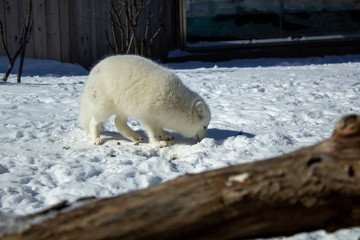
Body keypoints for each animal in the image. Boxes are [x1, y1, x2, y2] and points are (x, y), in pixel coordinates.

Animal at [79, 55, 211, 147]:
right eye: (204, 126)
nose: (205, 139)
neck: (177, 102)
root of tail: (94, 70)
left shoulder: (159, 116)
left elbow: (160, 128)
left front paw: (164, 136)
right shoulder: (148, 117)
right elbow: (153, 132)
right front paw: (158, 143)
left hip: (125, 107)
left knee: (118, 122)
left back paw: (134, 137)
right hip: (104, 109)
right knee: (94, 122)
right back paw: (96, 138)